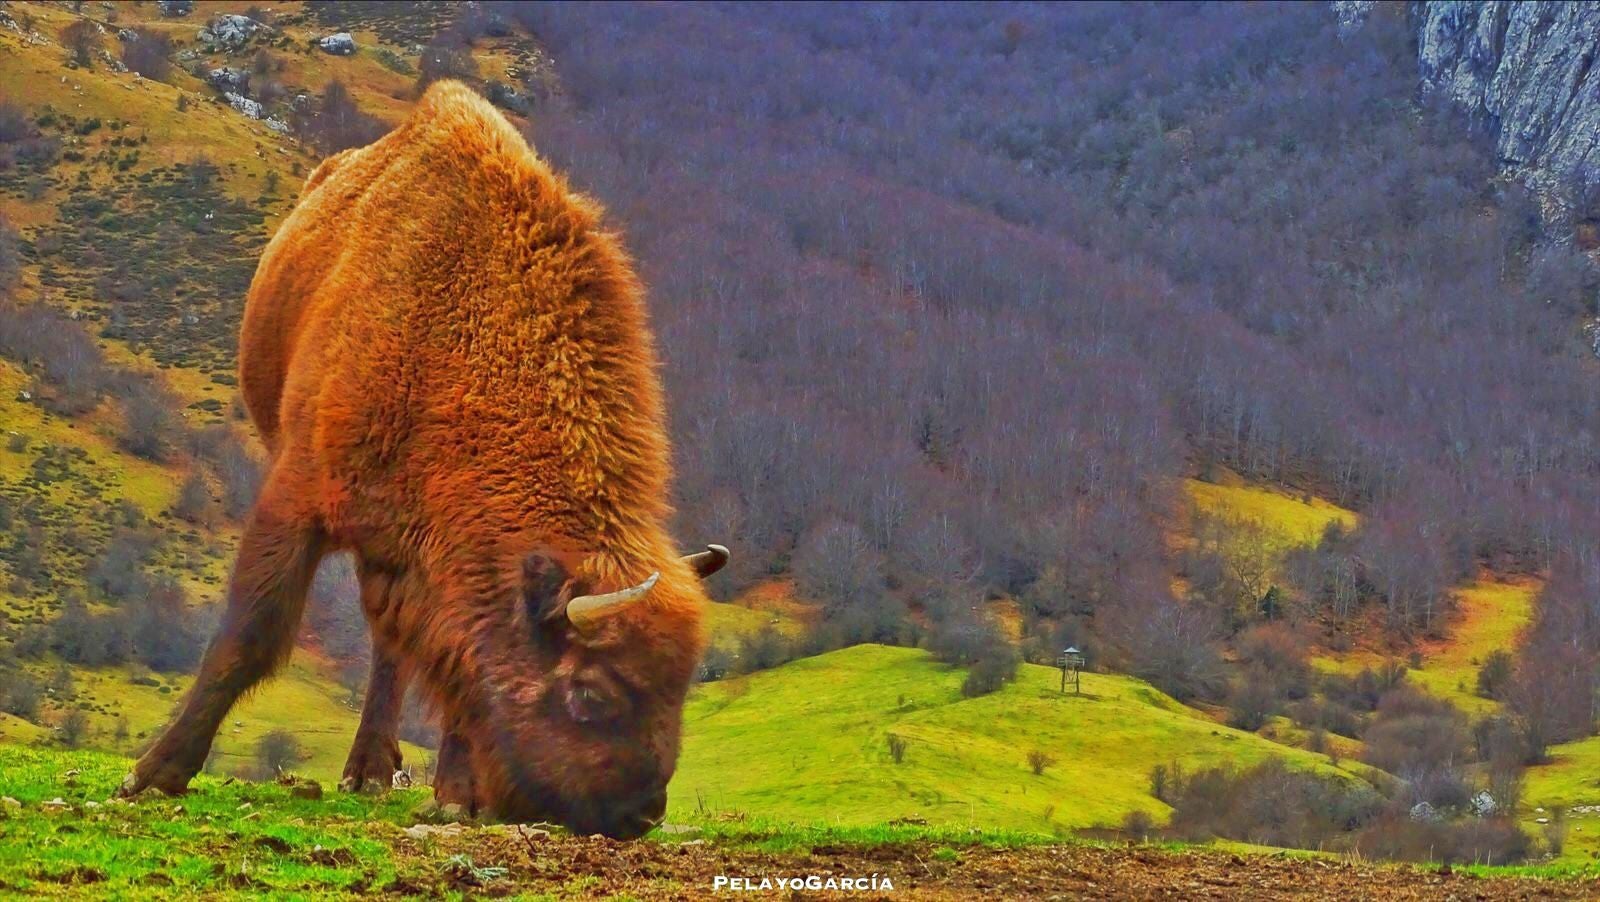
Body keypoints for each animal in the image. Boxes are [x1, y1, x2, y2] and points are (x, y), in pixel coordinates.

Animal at [121, 81, 729, 838]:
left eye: (680, 685)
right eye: (590, 692)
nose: (639, 812)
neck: (454, 343)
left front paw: (457, 795)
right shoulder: (297, 496)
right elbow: (249, 632)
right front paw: (154, 774)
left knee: (390, 646)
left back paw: (374, 771)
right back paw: (363, 772)